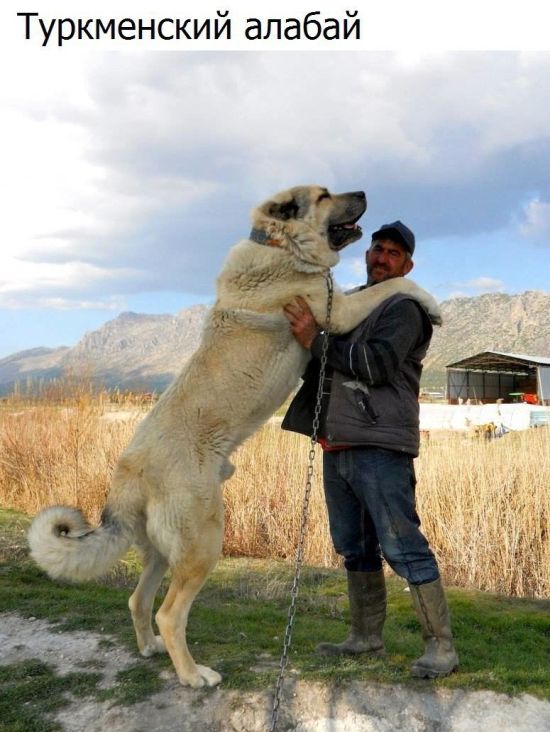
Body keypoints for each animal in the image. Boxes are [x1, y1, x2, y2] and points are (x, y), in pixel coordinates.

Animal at [29, 186, 444, 688]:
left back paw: (149, 648)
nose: (364, 191)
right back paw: (193, 676)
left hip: (163, 551)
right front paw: (432, 303)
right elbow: (390, 288)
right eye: (324, 195)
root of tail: (129, 472)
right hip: (204, 542)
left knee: (138, 599)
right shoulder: (338, 310)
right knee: (170, 613)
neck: (280, 245)